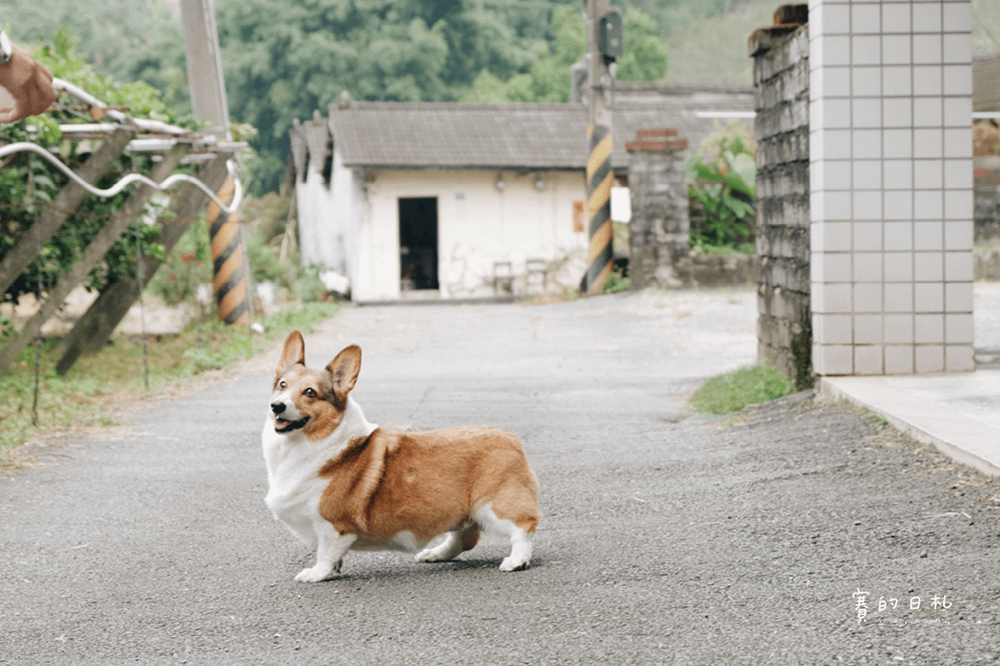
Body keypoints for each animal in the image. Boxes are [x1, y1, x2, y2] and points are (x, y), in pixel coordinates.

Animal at [258, 330, 540, 580]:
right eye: (282, 385)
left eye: (310, 392)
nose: (277, 406)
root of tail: (512, 439)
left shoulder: (333, 526)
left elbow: (325, 554)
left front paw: (317, 574)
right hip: (462, 513)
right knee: (462, 540)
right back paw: (435, 554)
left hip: (492, 507)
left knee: (524, 527)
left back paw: (517, 560)